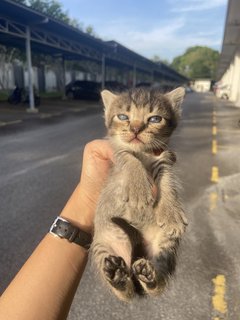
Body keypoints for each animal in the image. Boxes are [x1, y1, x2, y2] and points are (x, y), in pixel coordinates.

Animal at [91, 87, 188, 302]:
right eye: (122, 117)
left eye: (155, 119)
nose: (135, 129)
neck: (143, 153)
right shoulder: (115, 152)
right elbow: (127, 156)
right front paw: (138, 189)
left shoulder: (165, 158)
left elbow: (167, 179)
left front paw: (171, 213)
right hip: (101, 246)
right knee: (125, 294)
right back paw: (117, 277)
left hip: (164, 245)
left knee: (157, 284)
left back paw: (149, 276)